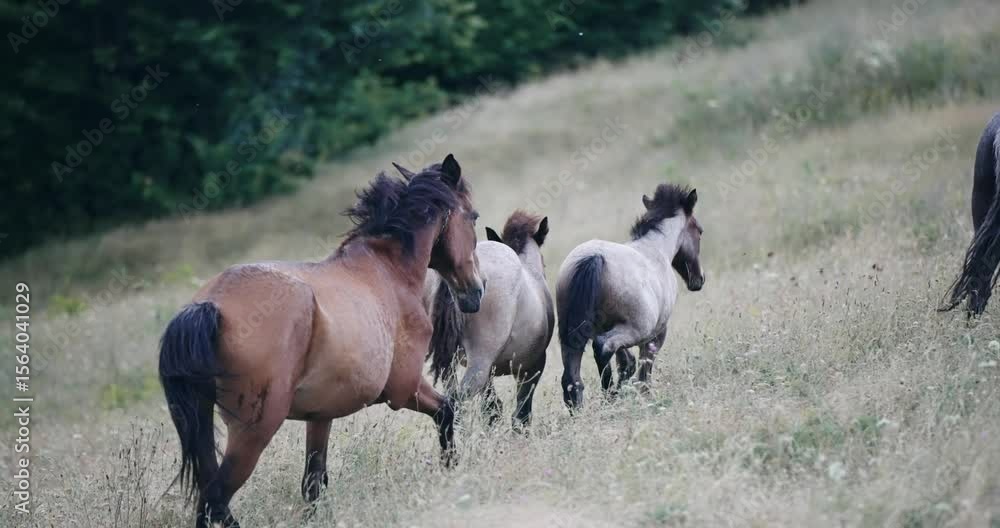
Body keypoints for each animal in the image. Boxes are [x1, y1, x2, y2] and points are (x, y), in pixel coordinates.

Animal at [158, 154, 484, 528]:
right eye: (473, 216)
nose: (476, 293)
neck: (388, 272)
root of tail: (210, 305)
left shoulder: (319, 417)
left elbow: (313, 482)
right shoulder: (403, 390)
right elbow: (446, 411)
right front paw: (451, 470)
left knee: (211, 500)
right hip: (253, 433)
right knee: (215, 501)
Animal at [423, 211, 555, 428]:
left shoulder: (490, 373)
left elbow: (492, 409)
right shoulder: (532, 367)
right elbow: (521, 414)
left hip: (450, 364)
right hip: (479, 363)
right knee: (456, 402)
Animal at [555, 184, 704, 409]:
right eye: (699, 231)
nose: (699, 279)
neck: (655, 250)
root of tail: (594, 257)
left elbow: (626, 363)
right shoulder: (656, 333)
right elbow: (643, 366)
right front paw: (644, 395)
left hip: (572, 335)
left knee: (572, 378)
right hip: (631, 331)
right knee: (602, 347)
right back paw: (610, 396)